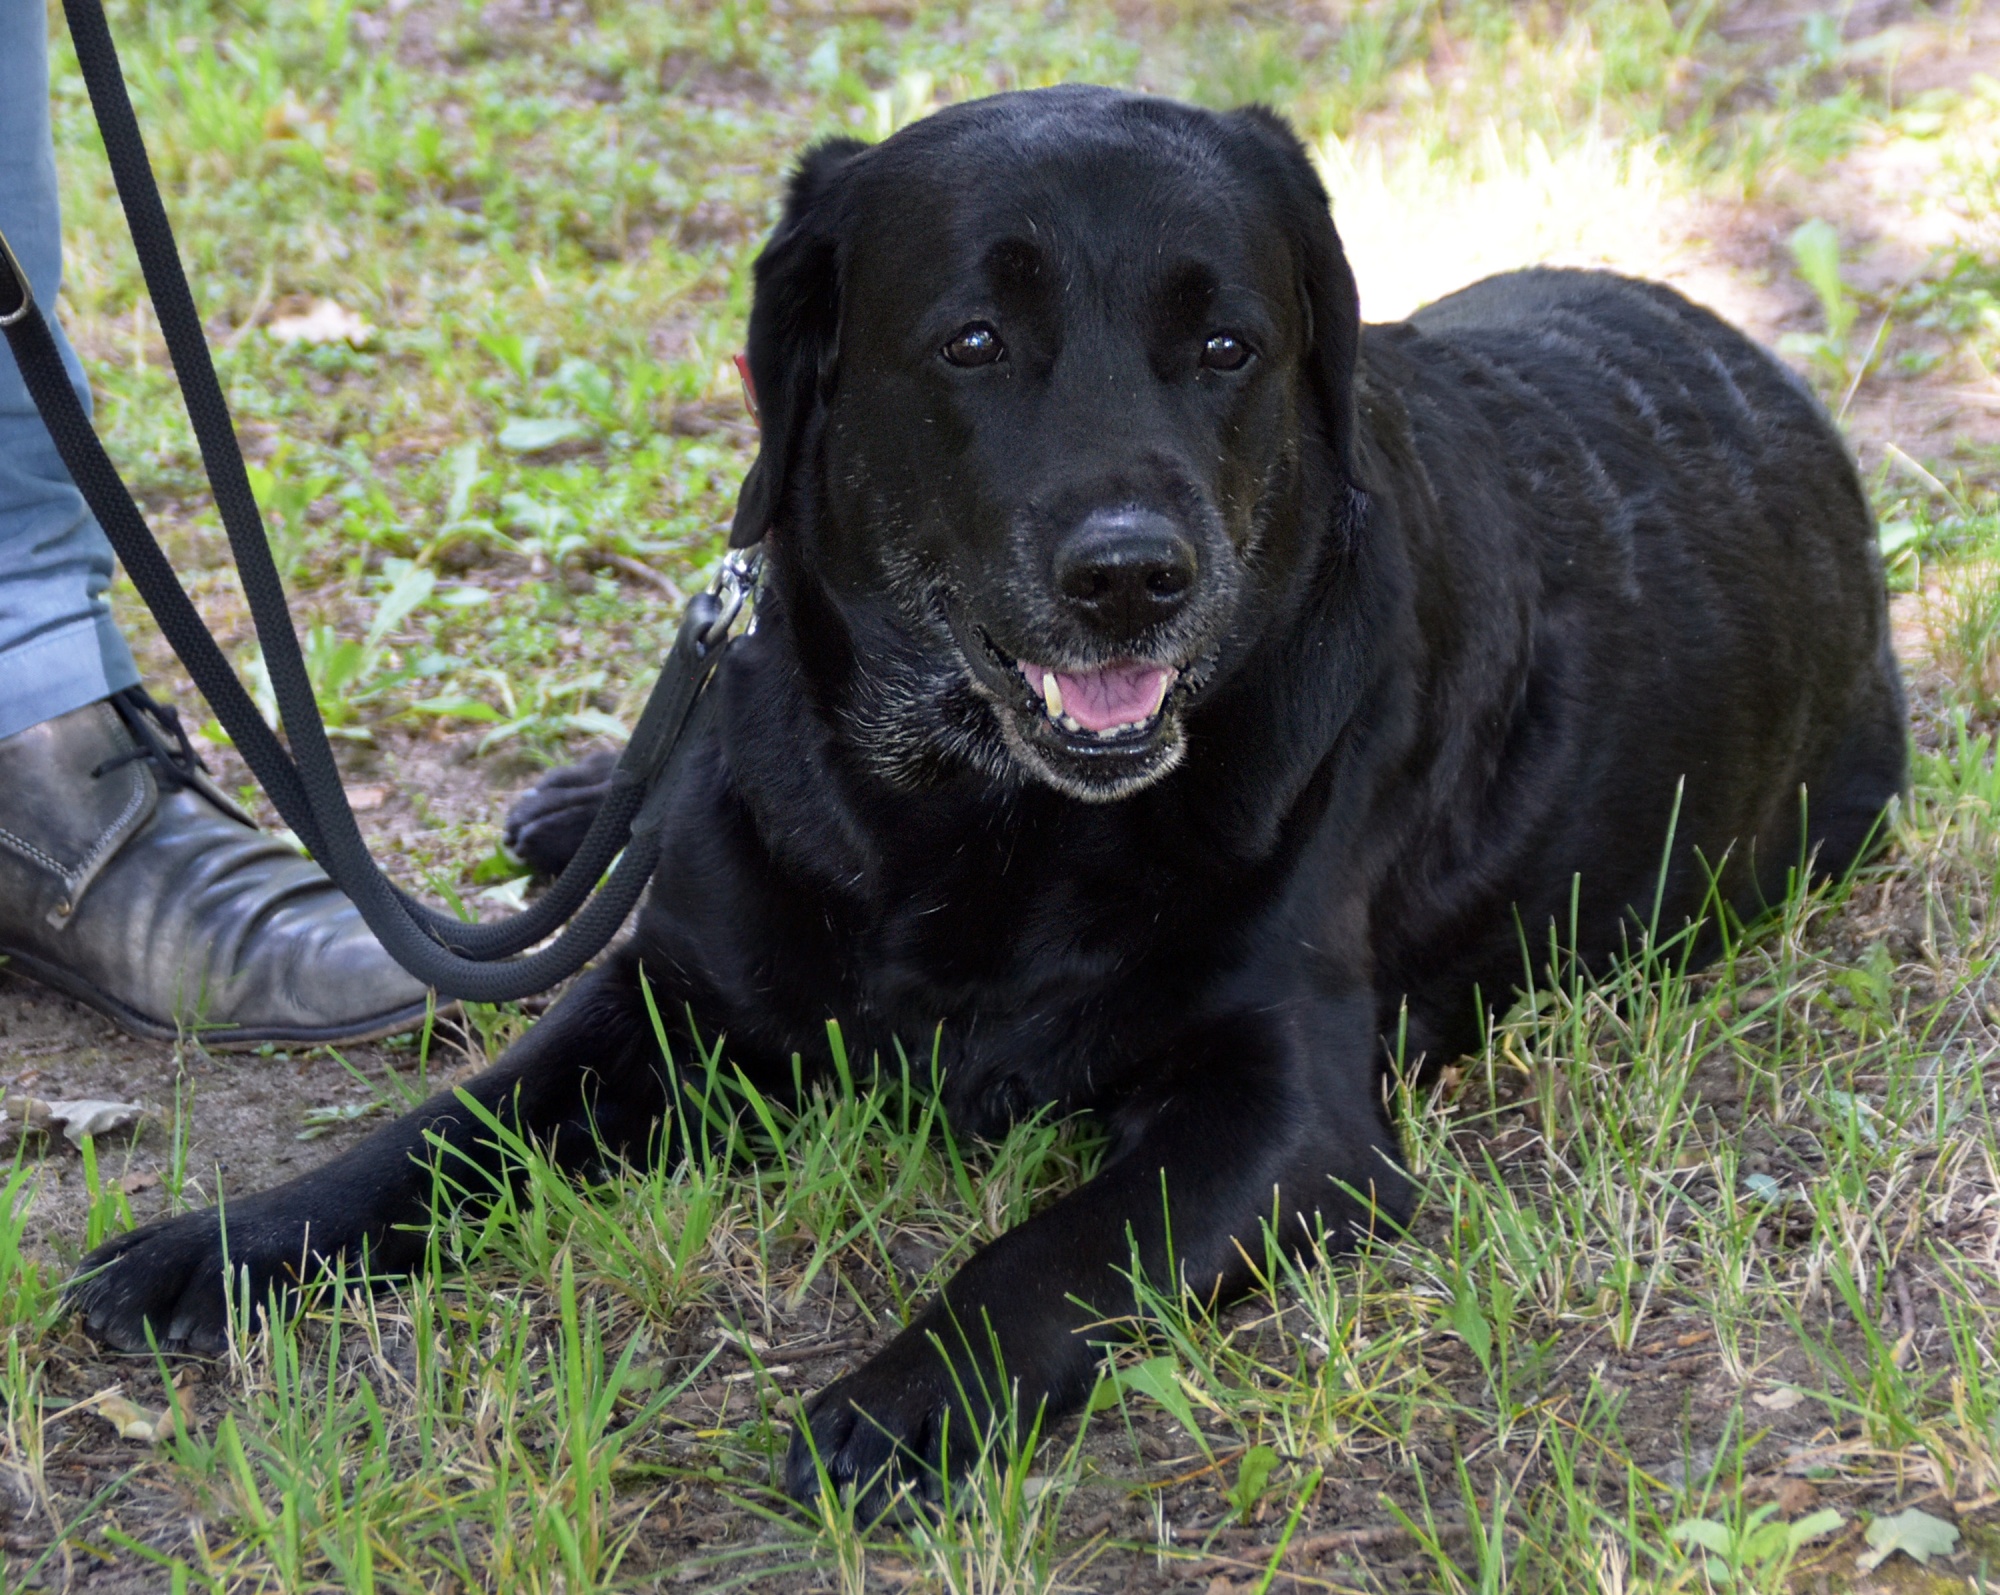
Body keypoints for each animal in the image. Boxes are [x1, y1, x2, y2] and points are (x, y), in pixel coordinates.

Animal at [74, 87, 1904, 1511]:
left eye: (1226, 346)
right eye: (971, 343)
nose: (1132, 578)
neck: (971, 814)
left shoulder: (1285, 1110)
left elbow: (1059, 1249)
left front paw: (899, 1400)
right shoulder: (672, 998)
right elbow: (454, 1128)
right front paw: (221, 1245)